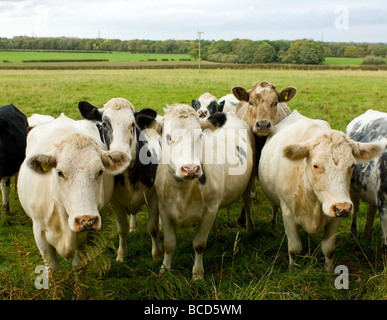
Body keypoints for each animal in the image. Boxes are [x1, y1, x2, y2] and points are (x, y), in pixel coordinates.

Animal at [17, 114, 130, 270]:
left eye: (100, 171)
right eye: (59, 172)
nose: (86, 220)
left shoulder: (87, 236)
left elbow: (78, 266)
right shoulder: (39, 234)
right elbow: (53, 269)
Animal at [78, 99, 163, 262]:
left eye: (132, 124)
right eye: (105, 124)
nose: (119, 155)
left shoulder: (153, 198)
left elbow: (152, 228)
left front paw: (156, 255)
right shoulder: (115, 202)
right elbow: (122, 230)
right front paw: (121, 254)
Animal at [150, 104, 256, 280]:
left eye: (200, 135)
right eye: (168, 137)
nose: (191, 169)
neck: (183, 192)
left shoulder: (209, 211)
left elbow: (199, 244)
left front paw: (198, 274)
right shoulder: (164, 209)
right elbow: (169, 244)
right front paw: (164, 269)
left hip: (249, 181)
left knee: (247, 202)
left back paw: (249, 227)